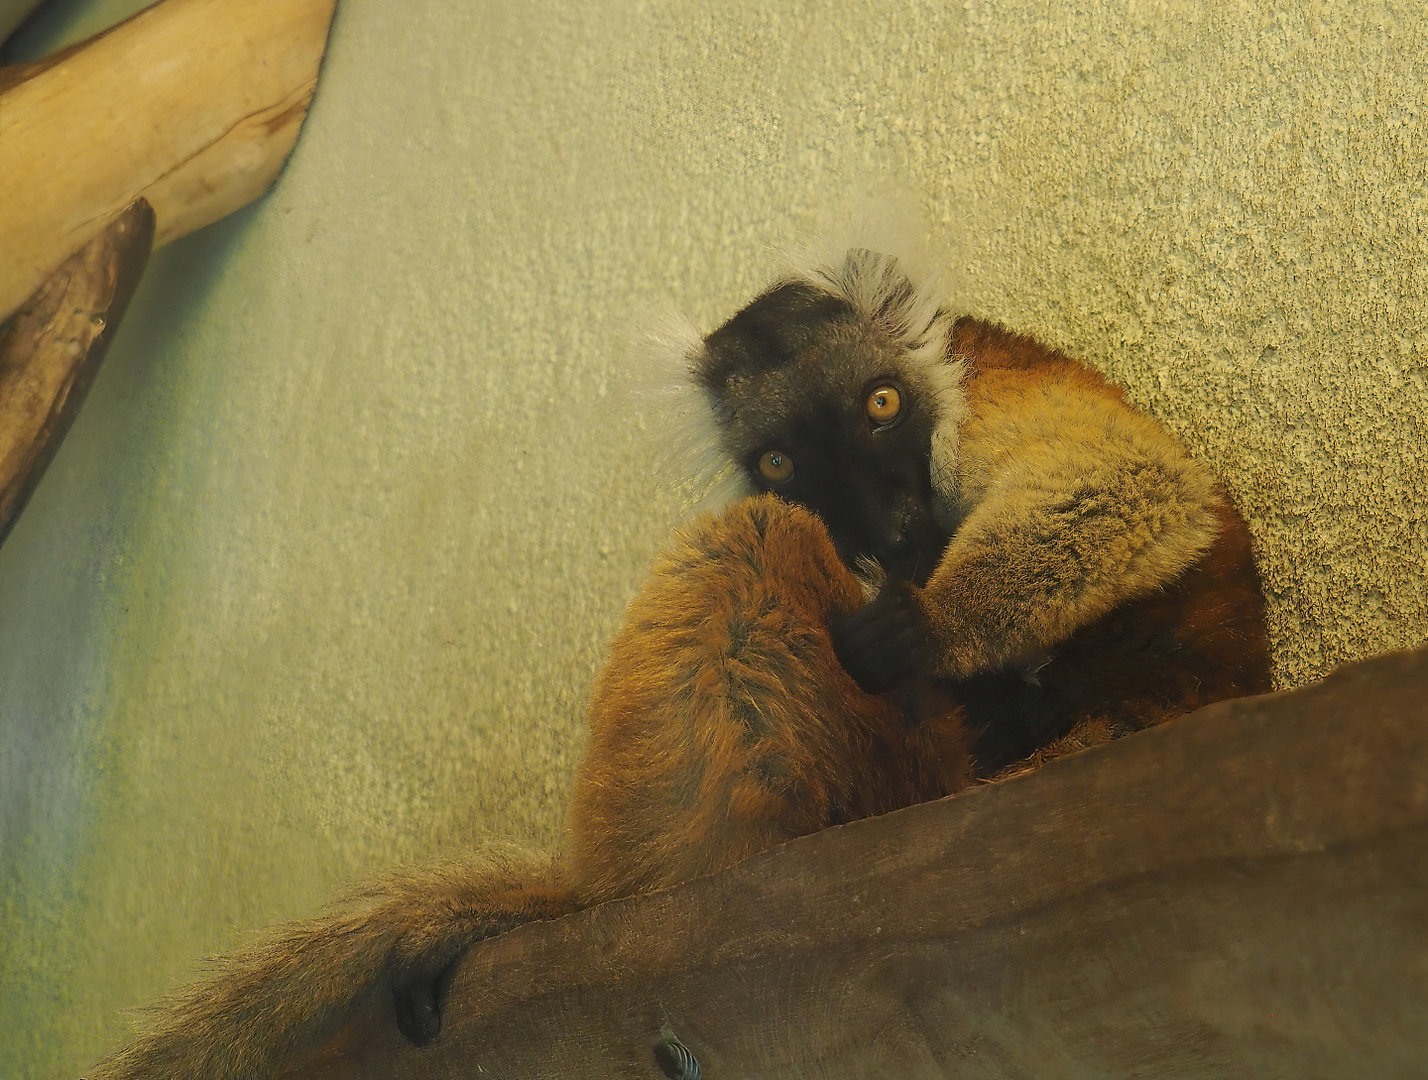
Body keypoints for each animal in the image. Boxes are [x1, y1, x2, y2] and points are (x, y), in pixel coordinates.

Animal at [677, 244, 1272, 773]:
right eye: (777, 464)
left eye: (882, 403)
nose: (889, 535)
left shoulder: (977, 405)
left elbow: (1138, 475)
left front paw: (928, 626)